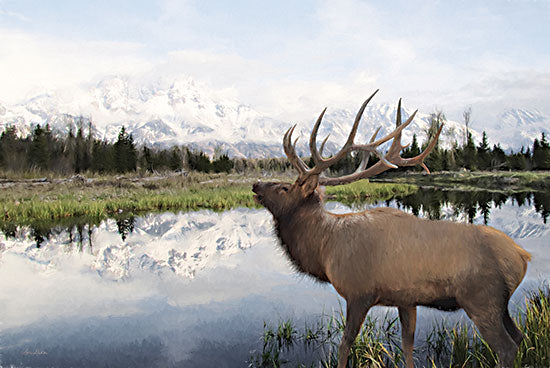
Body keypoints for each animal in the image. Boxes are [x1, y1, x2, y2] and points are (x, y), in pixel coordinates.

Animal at [252, 90, 532, 368]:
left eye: (284, 188)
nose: (255, 184)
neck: (325, 249)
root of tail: (522, 256)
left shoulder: (359, 293)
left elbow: (345, 345)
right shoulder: (406, 299)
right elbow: (407, 345)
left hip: (482, 298)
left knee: (506, 346)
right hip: (501, 304)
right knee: (519, 336)